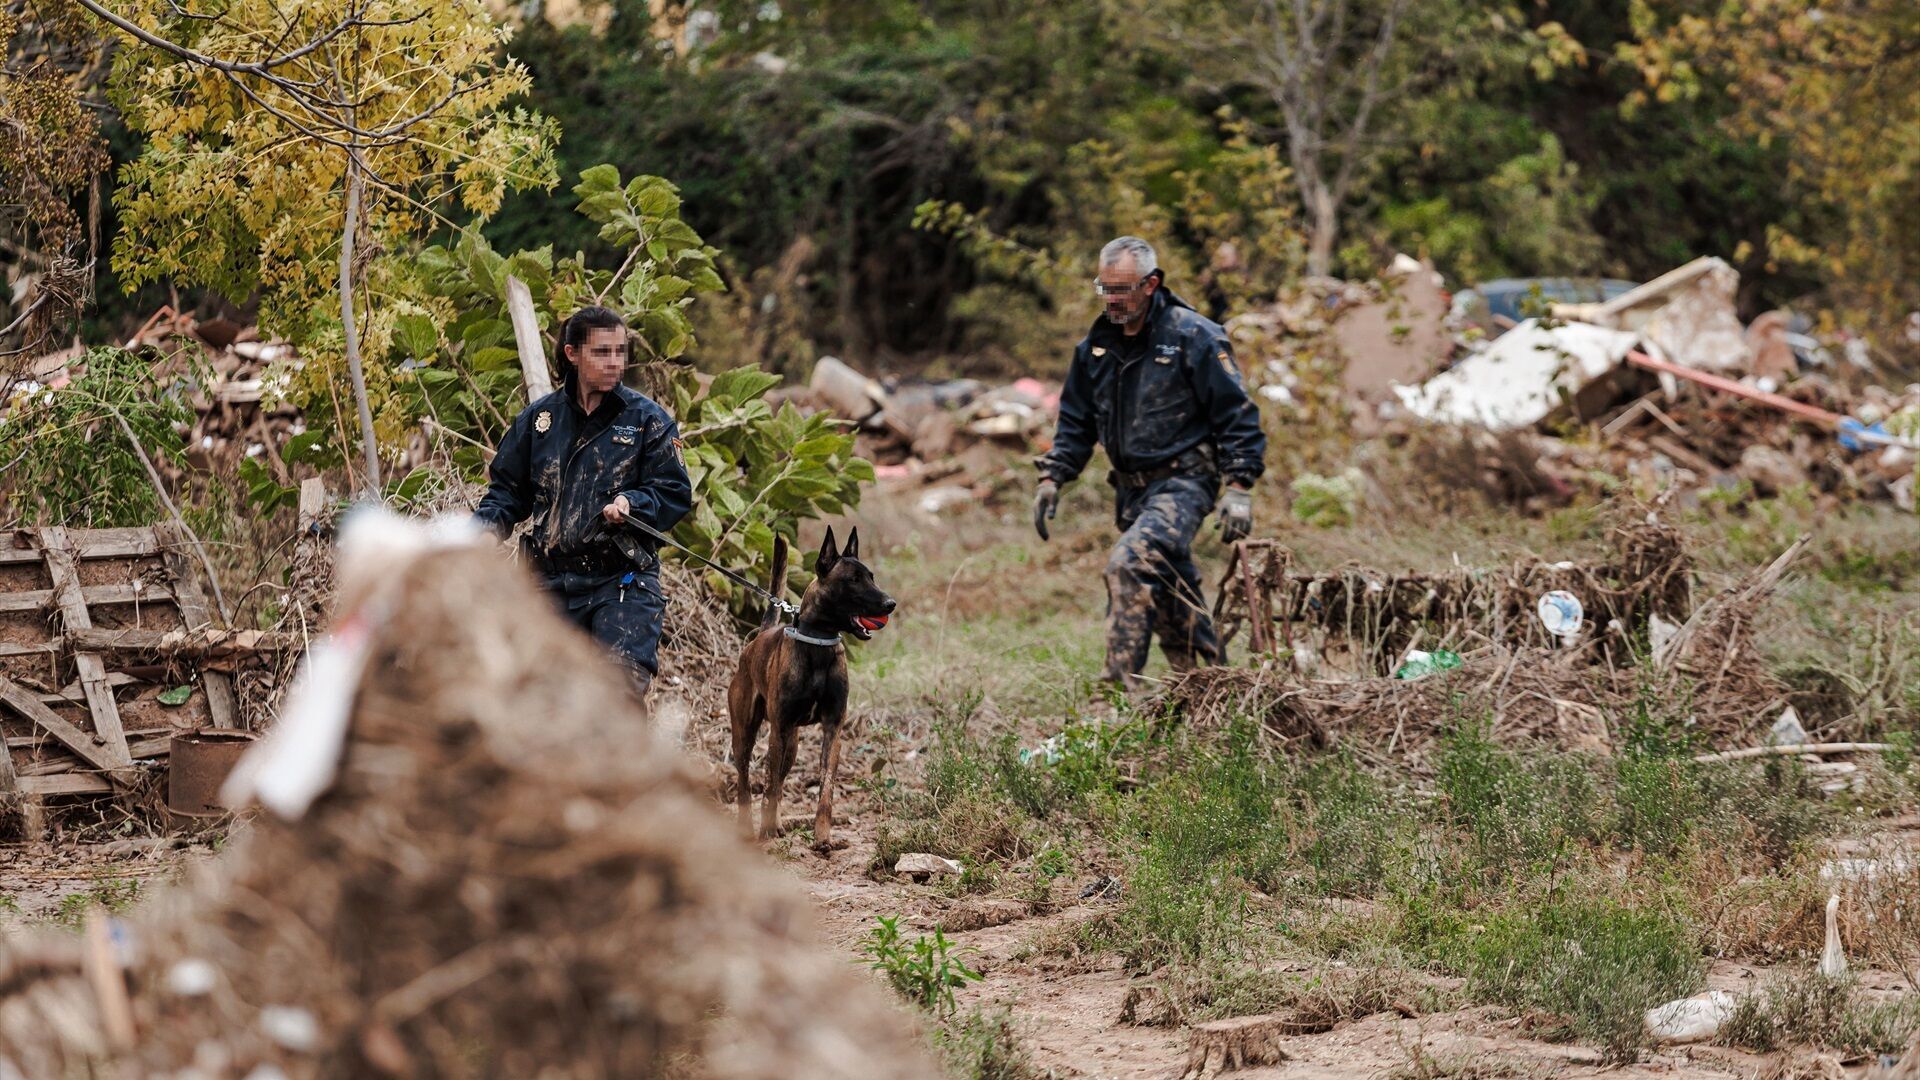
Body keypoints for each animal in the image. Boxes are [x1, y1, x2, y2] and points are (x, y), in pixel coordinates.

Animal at [725, 526, 890, 845]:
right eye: (853, 580)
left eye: (872, 577)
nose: (891, 604)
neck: (819, 643)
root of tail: (758, 639)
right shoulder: (779, 728)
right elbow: (769, 786)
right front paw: (766, 830)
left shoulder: (832, 729)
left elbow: (826, 788)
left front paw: (823, 836)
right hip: (746, 735)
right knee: (746, 782)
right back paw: (749, 827)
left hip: (792, 745)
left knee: (777, 780)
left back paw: (776, 823)